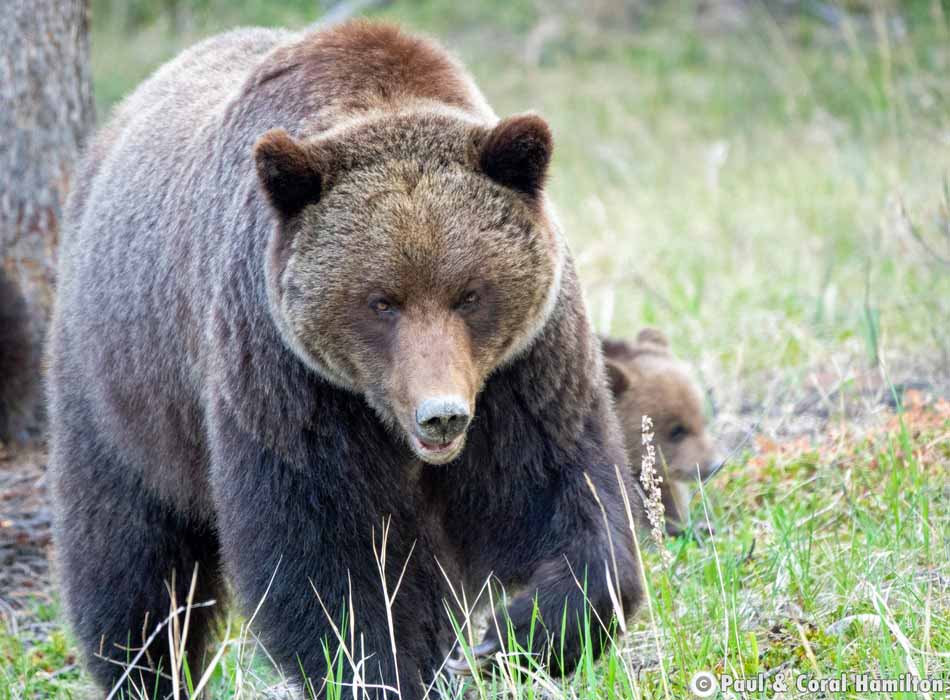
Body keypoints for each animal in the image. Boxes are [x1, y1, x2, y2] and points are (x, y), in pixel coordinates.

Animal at [50, 19, 648, 696]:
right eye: (381, 301)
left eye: (469, 293)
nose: (441, 415)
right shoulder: (287, 375)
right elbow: (324, 555)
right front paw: (382, 669)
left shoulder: (521, 369)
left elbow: (565, 492)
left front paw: (511, 635)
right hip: (123, 388)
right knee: (130, 556)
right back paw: (144, 669)